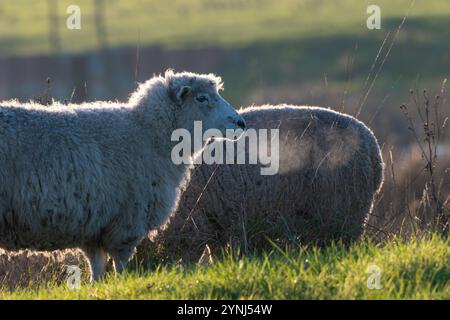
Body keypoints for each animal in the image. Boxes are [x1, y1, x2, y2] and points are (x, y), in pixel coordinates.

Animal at [0, 70, 246, 282]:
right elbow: (120, 265)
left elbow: (97, 268)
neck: (148, 134)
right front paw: (121, 284)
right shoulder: (127, 221)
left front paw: (97, 287)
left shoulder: (94, 226)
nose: (240, 123)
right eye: (202, 98)